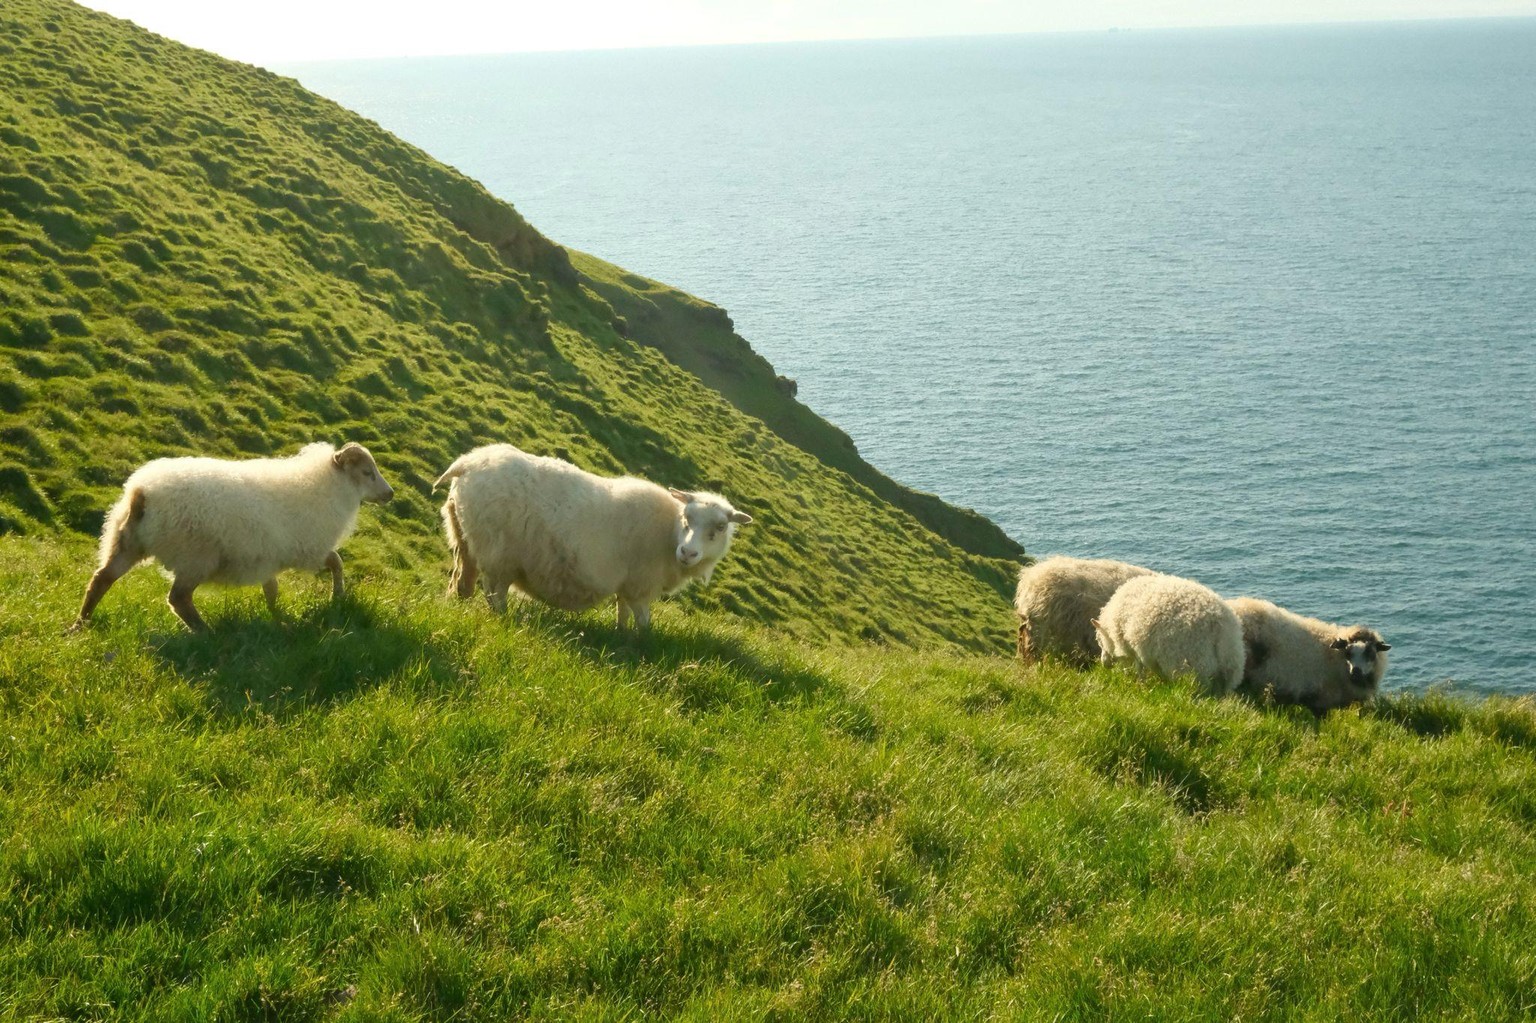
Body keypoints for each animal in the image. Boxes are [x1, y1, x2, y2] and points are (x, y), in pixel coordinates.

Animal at [70, 442, 393, 632]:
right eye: (367, 472)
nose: (390, 494)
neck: (327, 484)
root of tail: (142, 492)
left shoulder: (267, 556)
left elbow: (271, 590)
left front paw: (279, 618)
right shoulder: (308, 549)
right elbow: (337, 561)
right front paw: (337, 596)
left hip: (126, 541)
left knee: (101, 579)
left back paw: (80, 624)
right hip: (195, 556)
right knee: (179, 598)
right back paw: (206, 632)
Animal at [435, 444, 752, 628]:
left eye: (720, 527)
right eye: (688, 518)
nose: (687, 553)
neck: (669, 533)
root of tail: (468, 463)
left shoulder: (627, 586)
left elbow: (623, 616)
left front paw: (622, 638)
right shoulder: (640, 586)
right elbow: (643, 622)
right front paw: (641, 644)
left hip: (464, 537)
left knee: (462, 584)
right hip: (498, 553)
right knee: (494, 594)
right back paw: (503, 620)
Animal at [1091, 573, 1244, 695]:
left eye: (1100, 641)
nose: (1104, 664)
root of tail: (1219, 626)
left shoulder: (1135, 646)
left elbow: (1140, 668)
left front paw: (1141, 684)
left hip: (1191, 664)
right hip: (1230, 667)